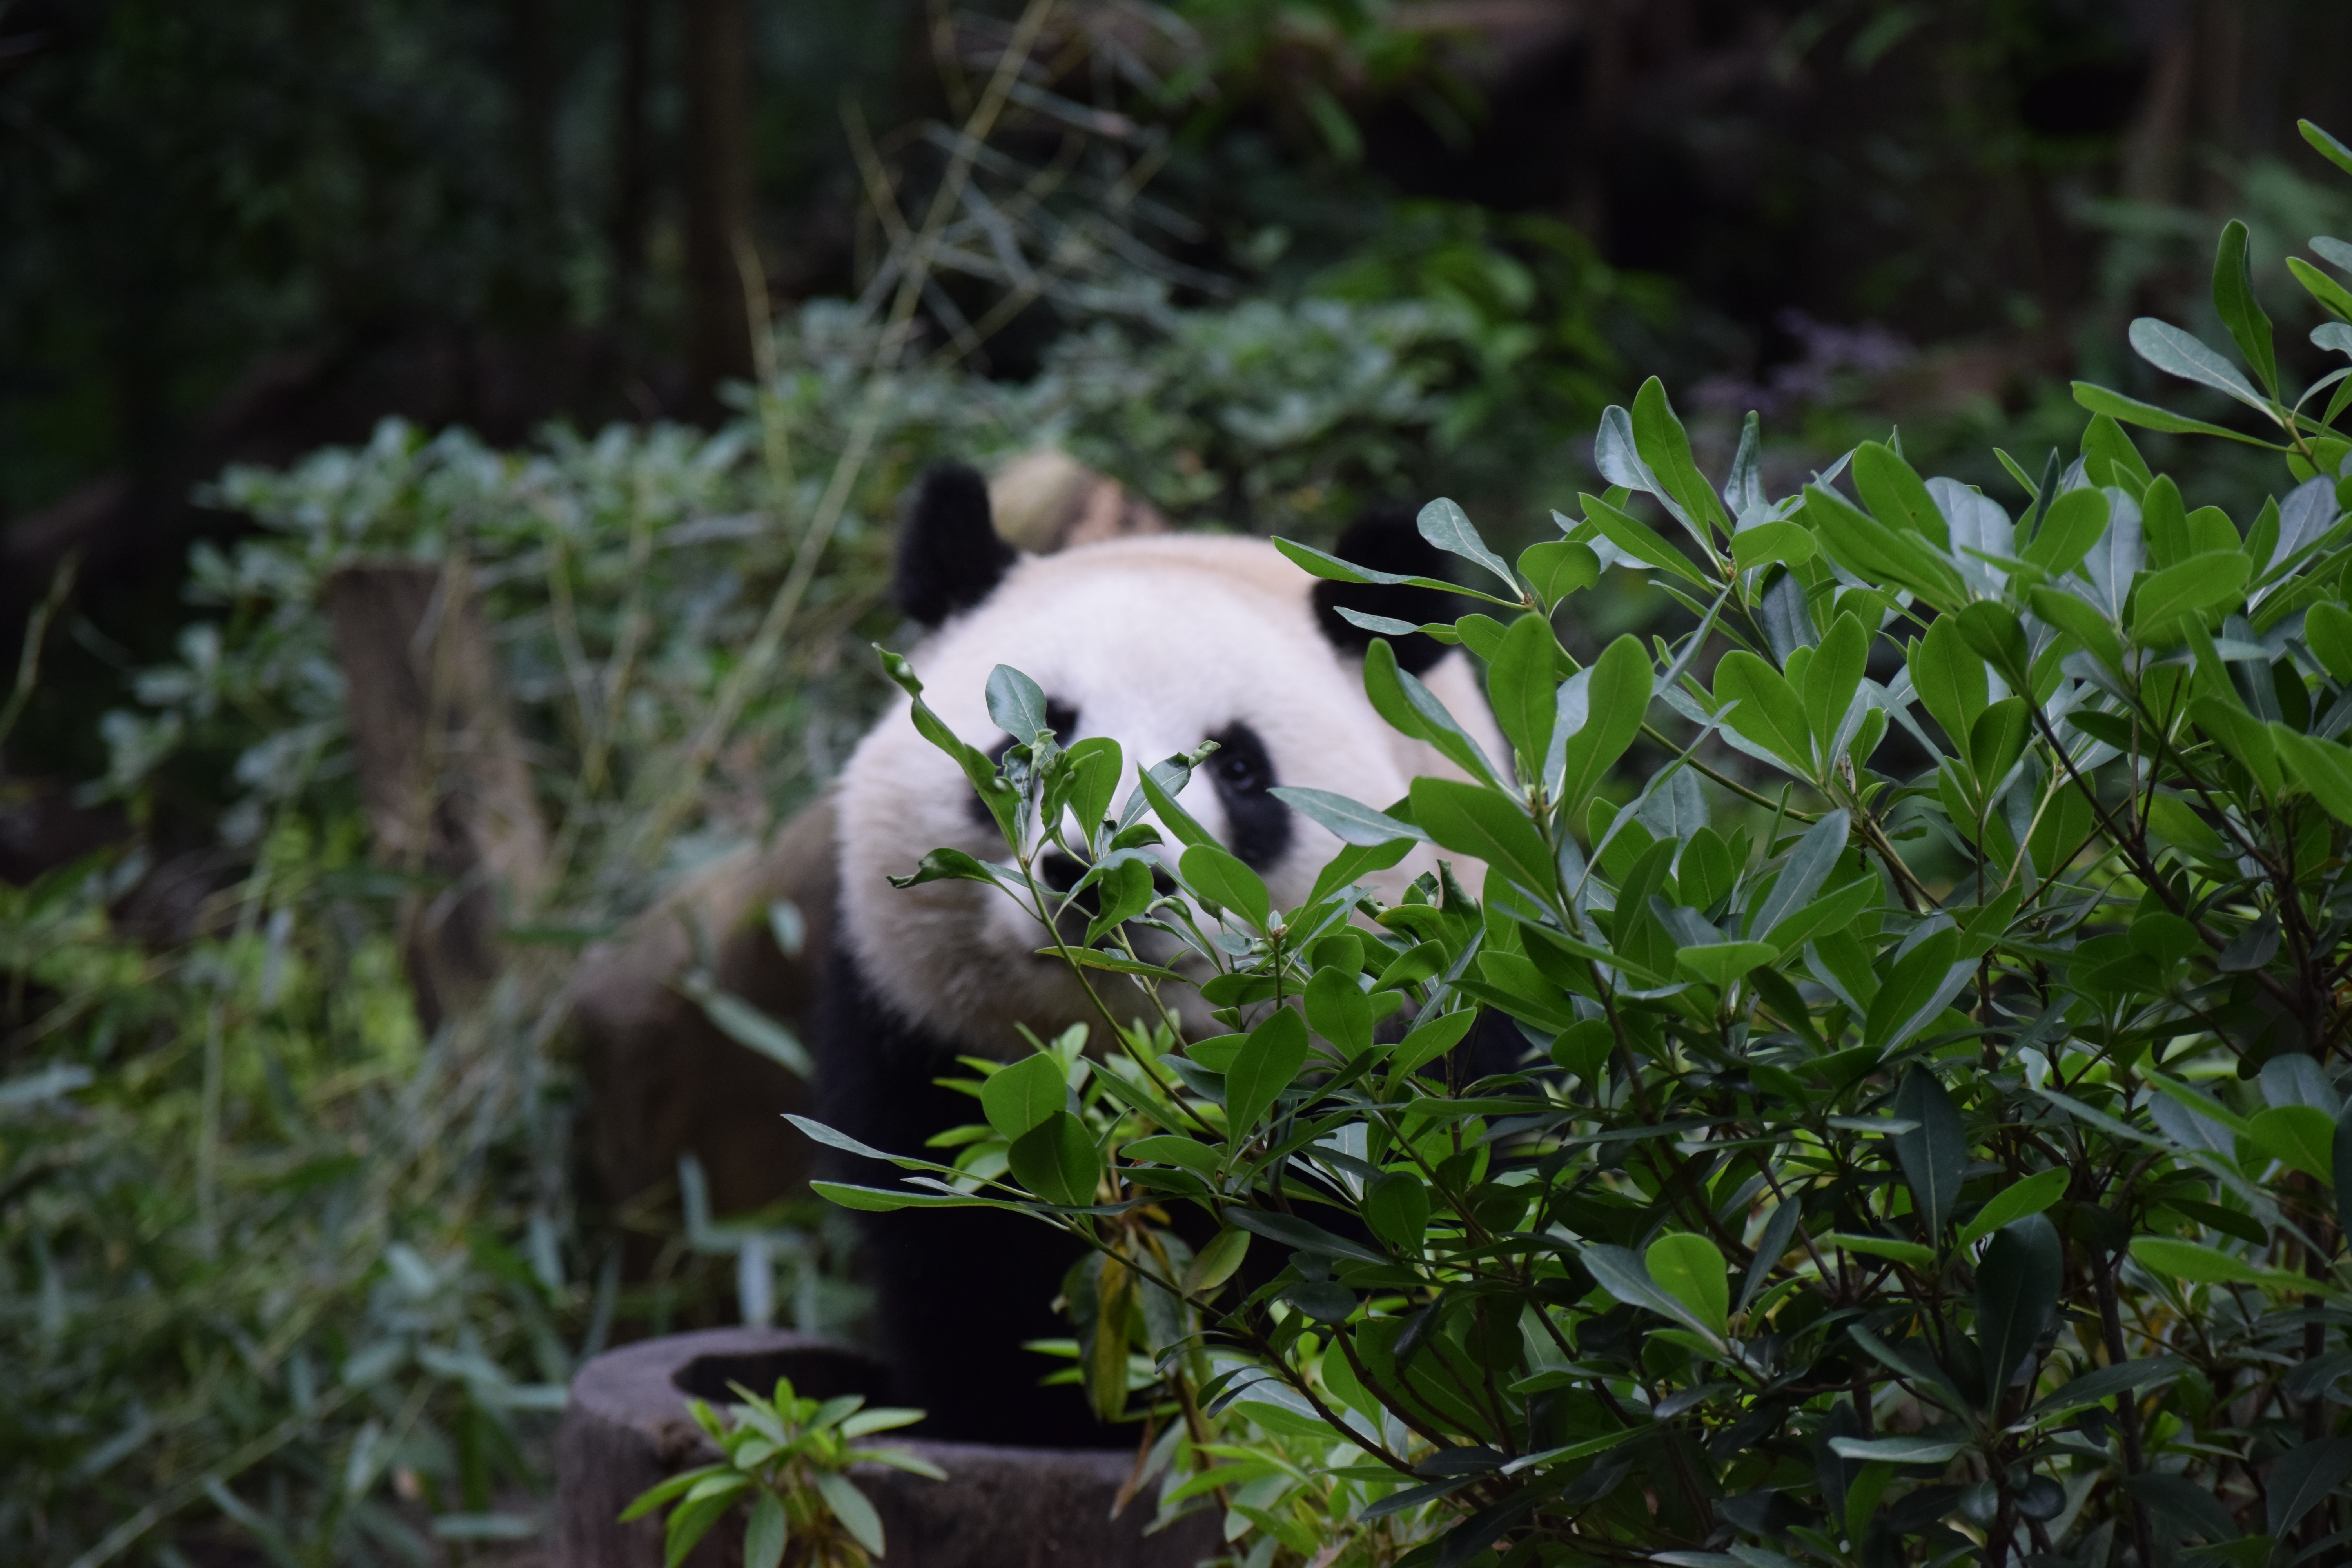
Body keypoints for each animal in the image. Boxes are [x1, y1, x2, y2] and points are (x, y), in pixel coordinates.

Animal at [817, 462, 1511, 1447]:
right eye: (1026, 743)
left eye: (1239, 768)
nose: (1098, 875)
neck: (1130, 1064)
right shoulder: (921, 1042)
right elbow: (952, 1259)